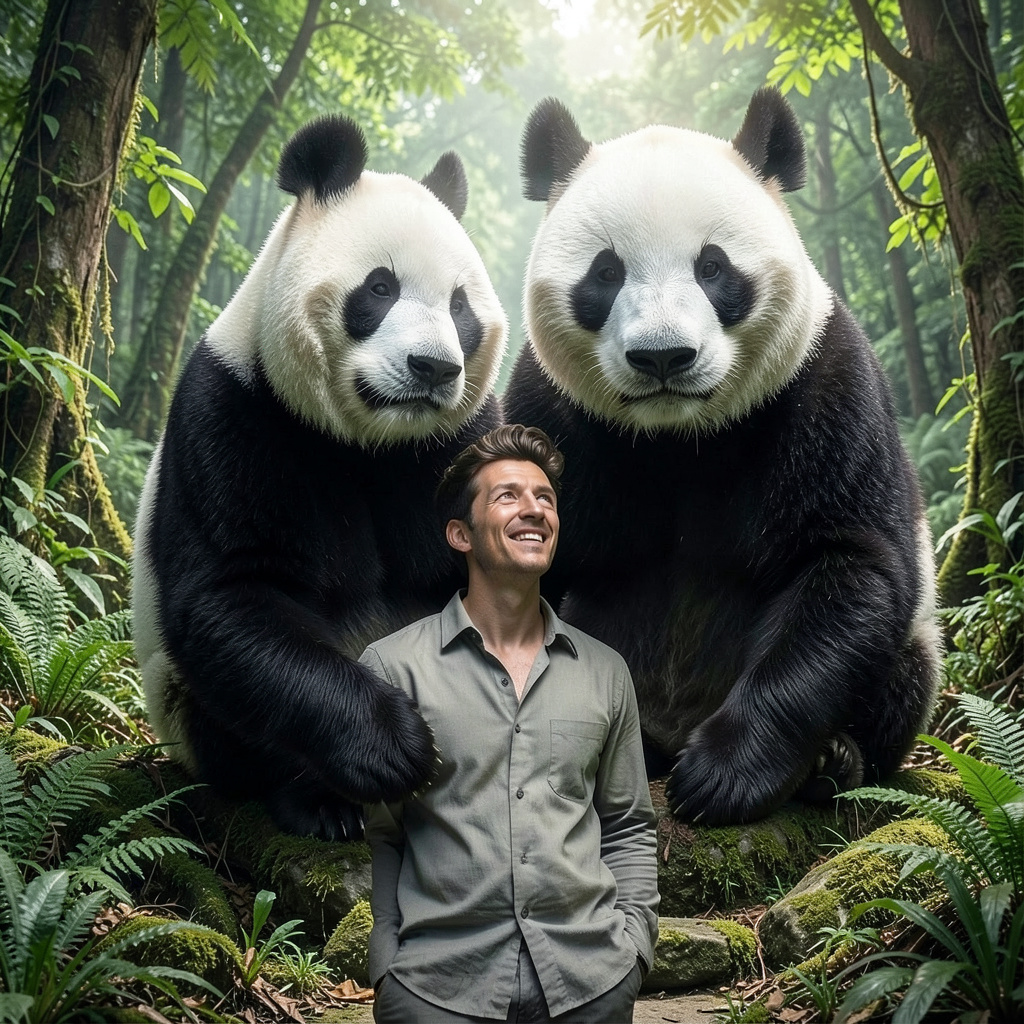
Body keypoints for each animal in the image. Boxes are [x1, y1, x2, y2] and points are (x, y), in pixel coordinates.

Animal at [133, 115, 507, 841]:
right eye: (380, 288)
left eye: (460, 308)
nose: (433, 368)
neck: (369, 441)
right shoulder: (236, 411)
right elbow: (233, 594)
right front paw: (393, 746)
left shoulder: (459, 437)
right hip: (182, 701)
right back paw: (318, 802)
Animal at [504, 88, 941, 826]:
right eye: (606, 273)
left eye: (712, 268)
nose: (662, 357)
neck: (680, 435)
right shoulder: (550, 408)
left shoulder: (824, 382)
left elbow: (851, 562)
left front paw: (724, 776)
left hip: (913, 643)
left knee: (906, 665)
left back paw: (834, 763)